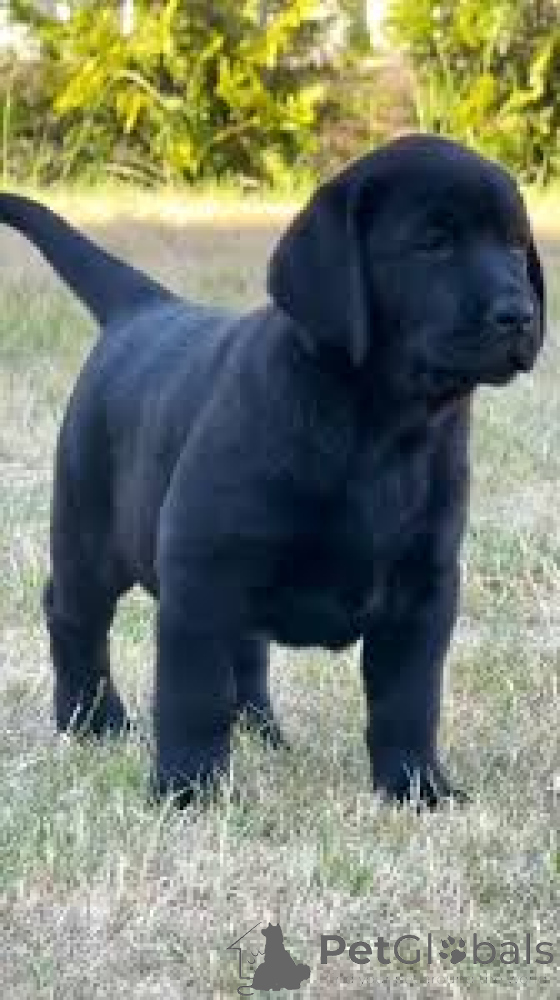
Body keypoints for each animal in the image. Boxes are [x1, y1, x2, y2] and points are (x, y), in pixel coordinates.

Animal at [0, 135, 545, 808]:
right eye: (433, 242)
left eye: (516, 245)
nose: (519, 313)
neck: (379, 425)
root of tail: (143, 308)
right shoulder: (201, 573)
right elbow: (195, 694)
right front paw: (190, 791)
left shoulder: (425, 586)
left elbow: (409, 700)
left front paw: (418, 788)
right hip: (89, 533)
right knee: (74, 618)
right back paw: (92, 723)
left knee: (248, 653)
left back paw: (263, 734)